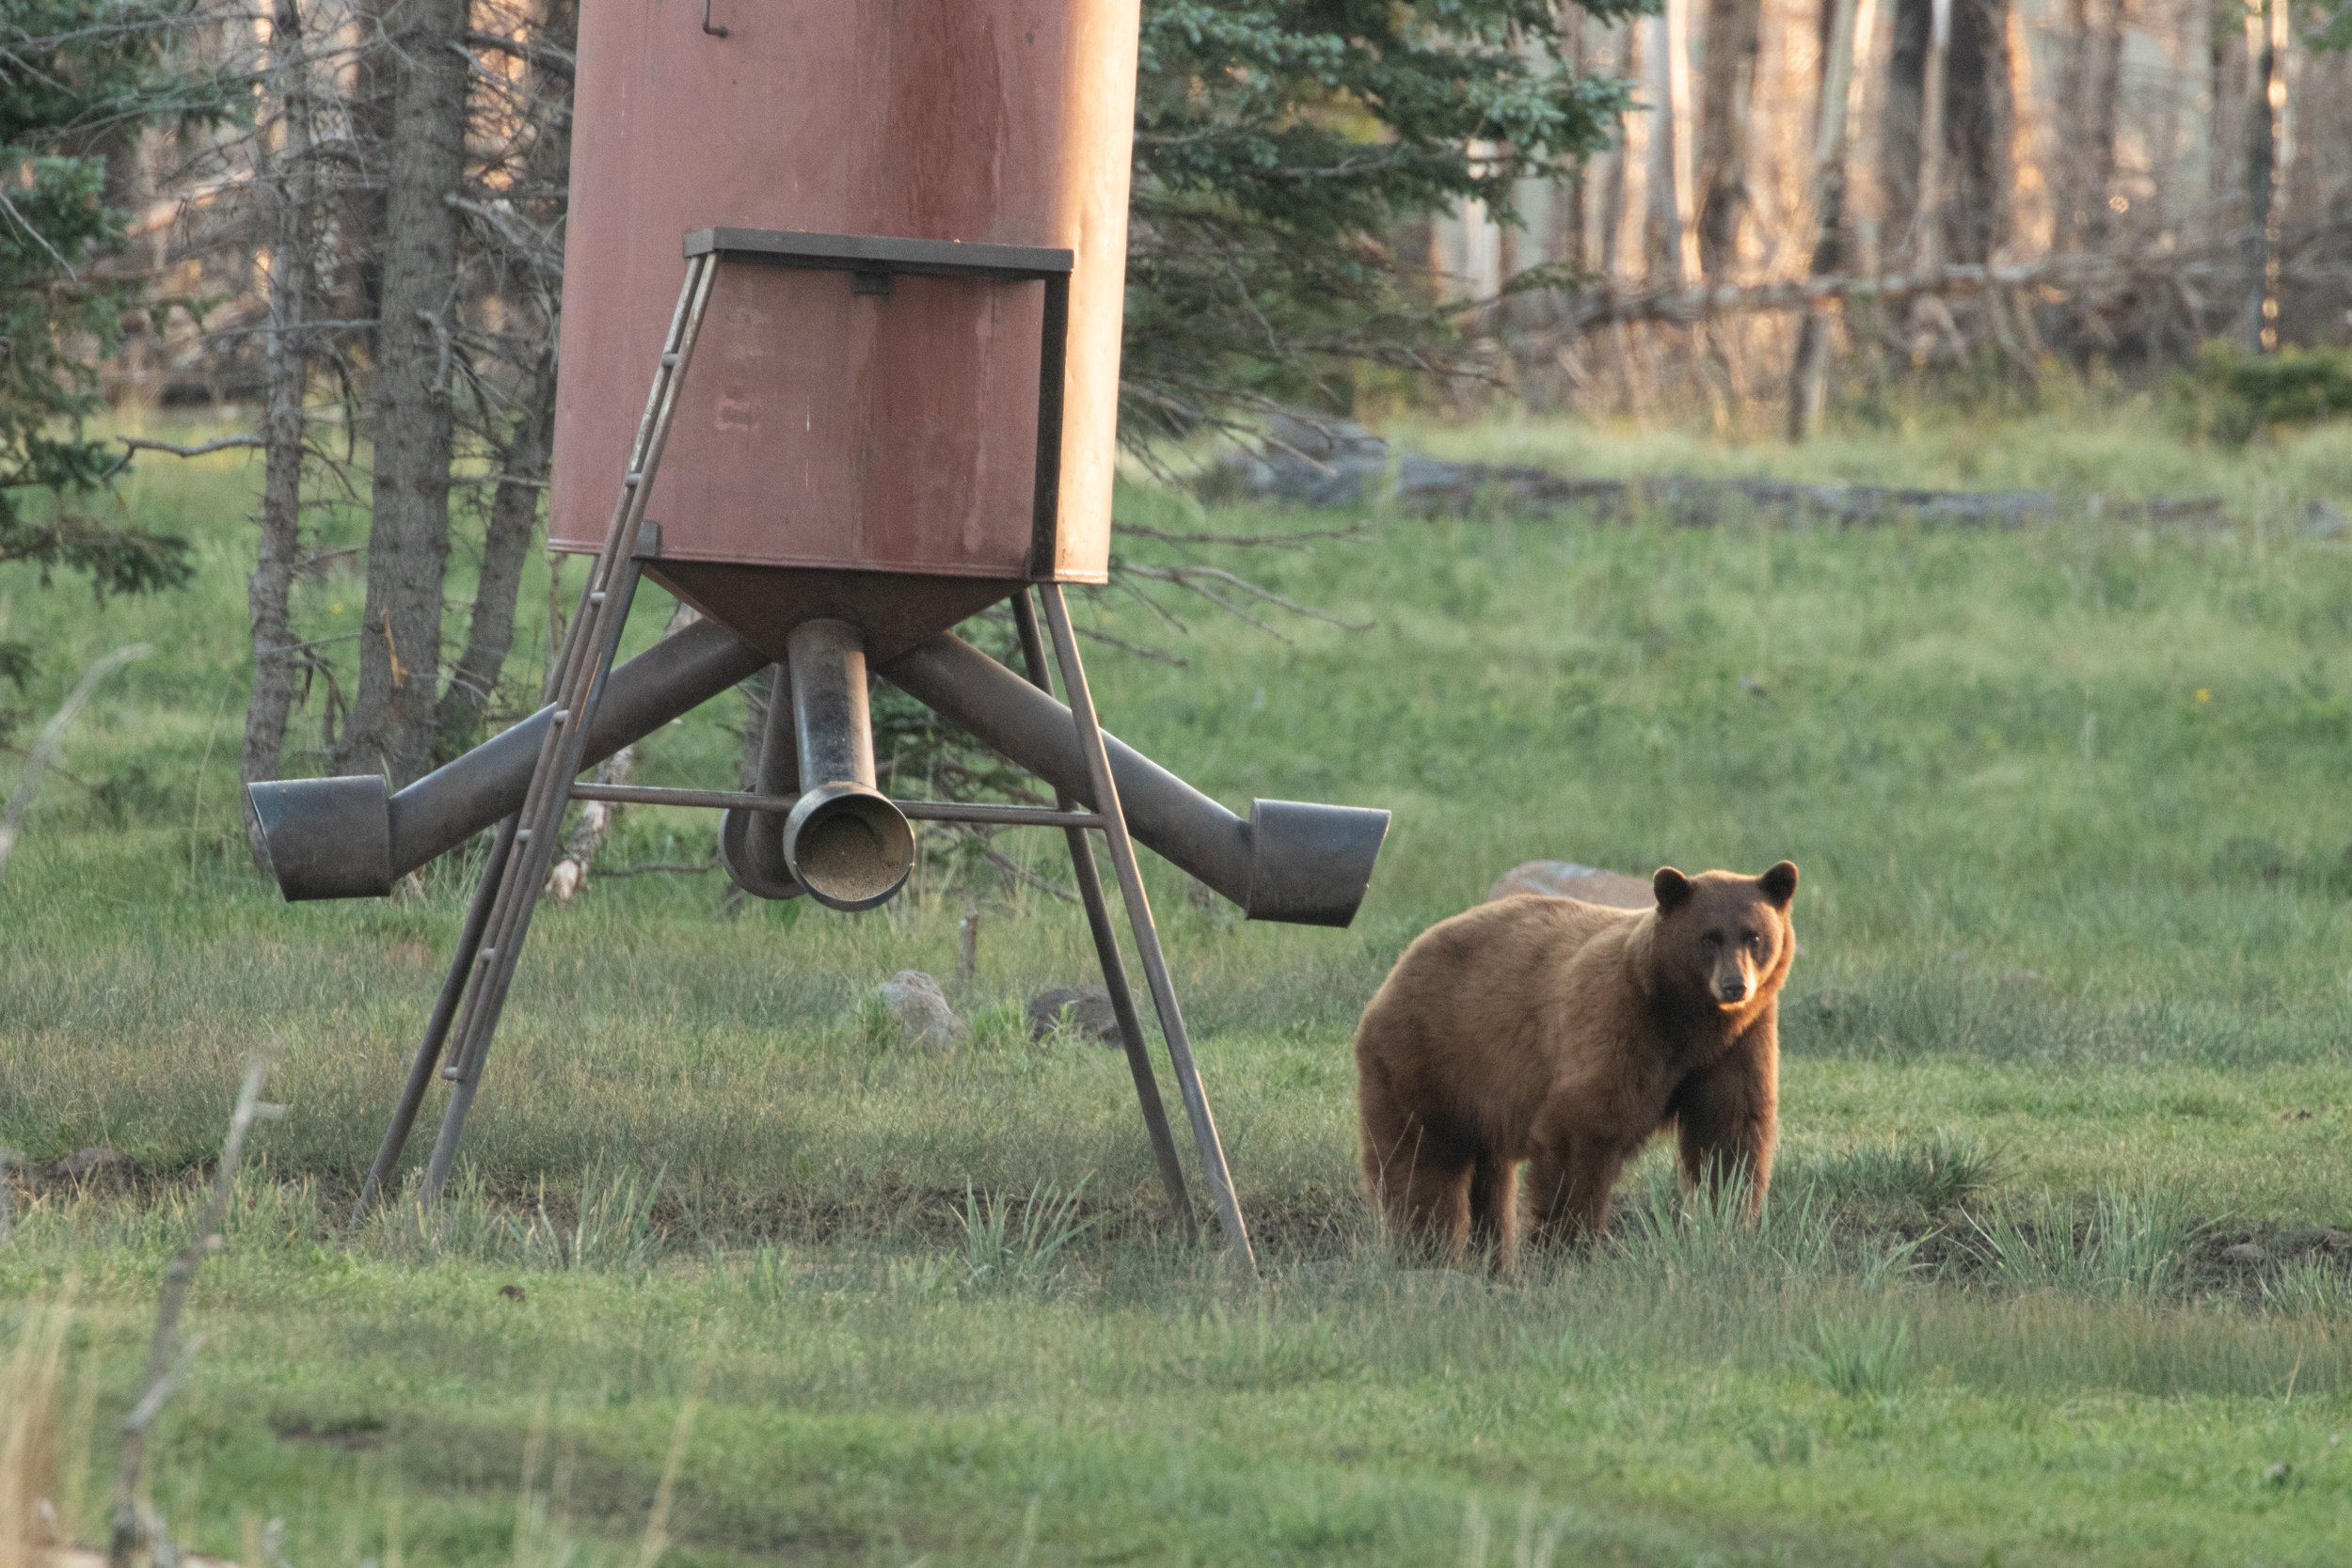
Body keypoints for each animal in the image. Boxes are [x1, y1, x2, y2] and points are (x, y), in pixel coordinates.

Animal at [1355, 864, 1788, 1269]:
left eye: (1754, 936)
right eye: (1708, 937)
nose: (1735, 985)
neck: (1687, 1018)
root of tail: (1394, 974)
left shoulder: (1738, 1042)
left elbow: (1730, 1132)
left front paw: (1729, 1227)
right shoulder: (1619, 1019)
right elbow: (1581, 1130)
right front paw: (1566, 1249)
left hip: (1480, 1091)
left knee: (1489, 1178)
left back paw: (1492, 1266)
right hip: (1428, 1060)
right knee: (1419, 1163)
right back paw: (1426, 1253)